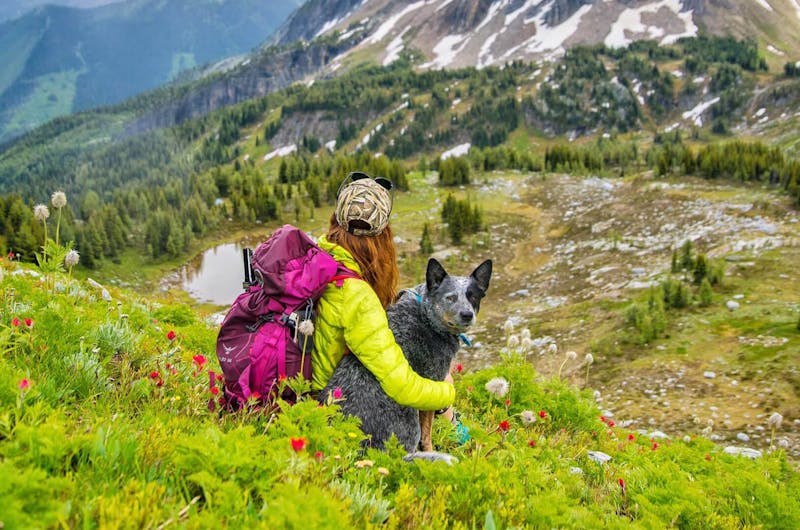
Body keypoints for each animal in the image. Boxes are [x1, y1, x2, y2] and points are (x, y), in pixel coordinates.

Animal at [320, 256, 494, 450]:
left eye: (473, 297)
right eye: (450, 297)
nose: (467, 314)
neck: (428, 317)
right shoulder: (433, 384)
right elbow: (427, 435)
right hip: (409, 424)